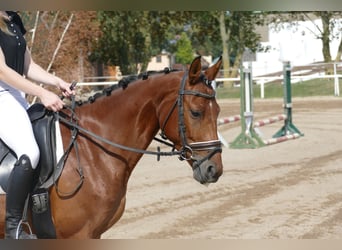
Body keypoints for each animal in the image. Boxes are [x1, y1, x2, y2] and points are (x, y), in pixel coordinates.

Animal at [0, 55, 223, 239]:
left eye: (218, 111)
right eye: (195, 113)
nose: (214, 169)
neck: (91, 149)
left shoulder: (95, 233)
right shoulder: (77, 235)